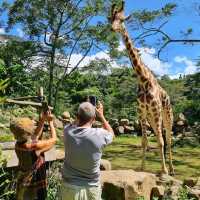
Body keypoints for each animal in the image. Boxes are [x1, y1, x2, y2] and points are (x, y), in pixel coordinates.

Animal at [110, 0, 174, 174]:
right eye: (110, 18)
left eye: (122, 20)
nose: (112, 28)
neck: (143, 80)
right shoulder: (142, 112)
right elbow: (144, 141)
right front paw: (142, 168)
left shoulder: (155, 110)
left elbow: (161, 141)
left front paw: (163, 171)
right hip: (152, 118)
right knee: (160, 136)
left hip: (166, 115)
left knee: (168, 138)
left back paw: (171, 169)